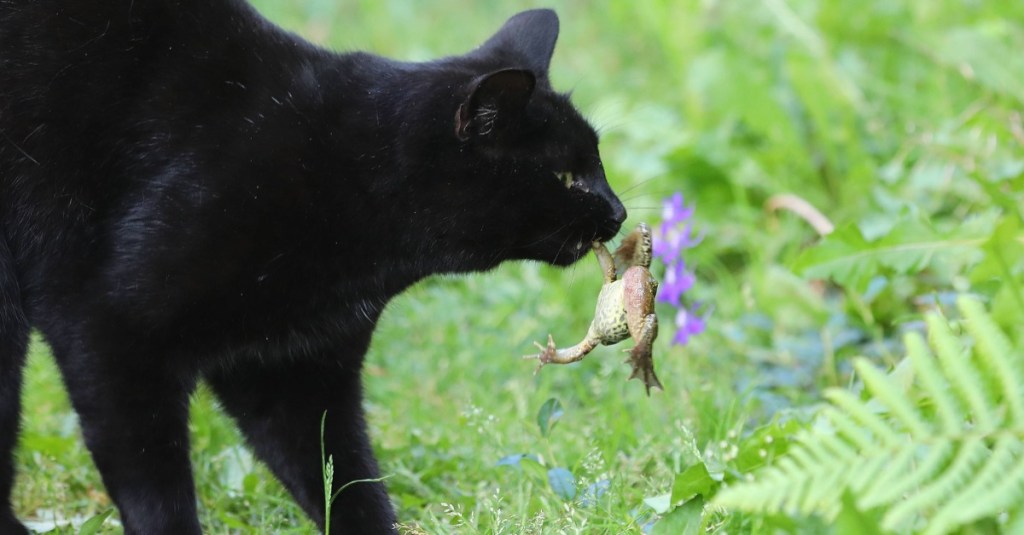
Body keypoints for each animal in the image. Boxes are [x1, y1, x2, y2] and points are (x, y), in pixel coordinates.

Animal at [0, 2, 622, 528]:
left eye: (598, 163)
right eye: (566, 176)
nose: (617, 211)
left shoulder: (297, 368)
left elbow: (344, 482)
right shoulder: (108, 329)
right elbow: (154, 487)